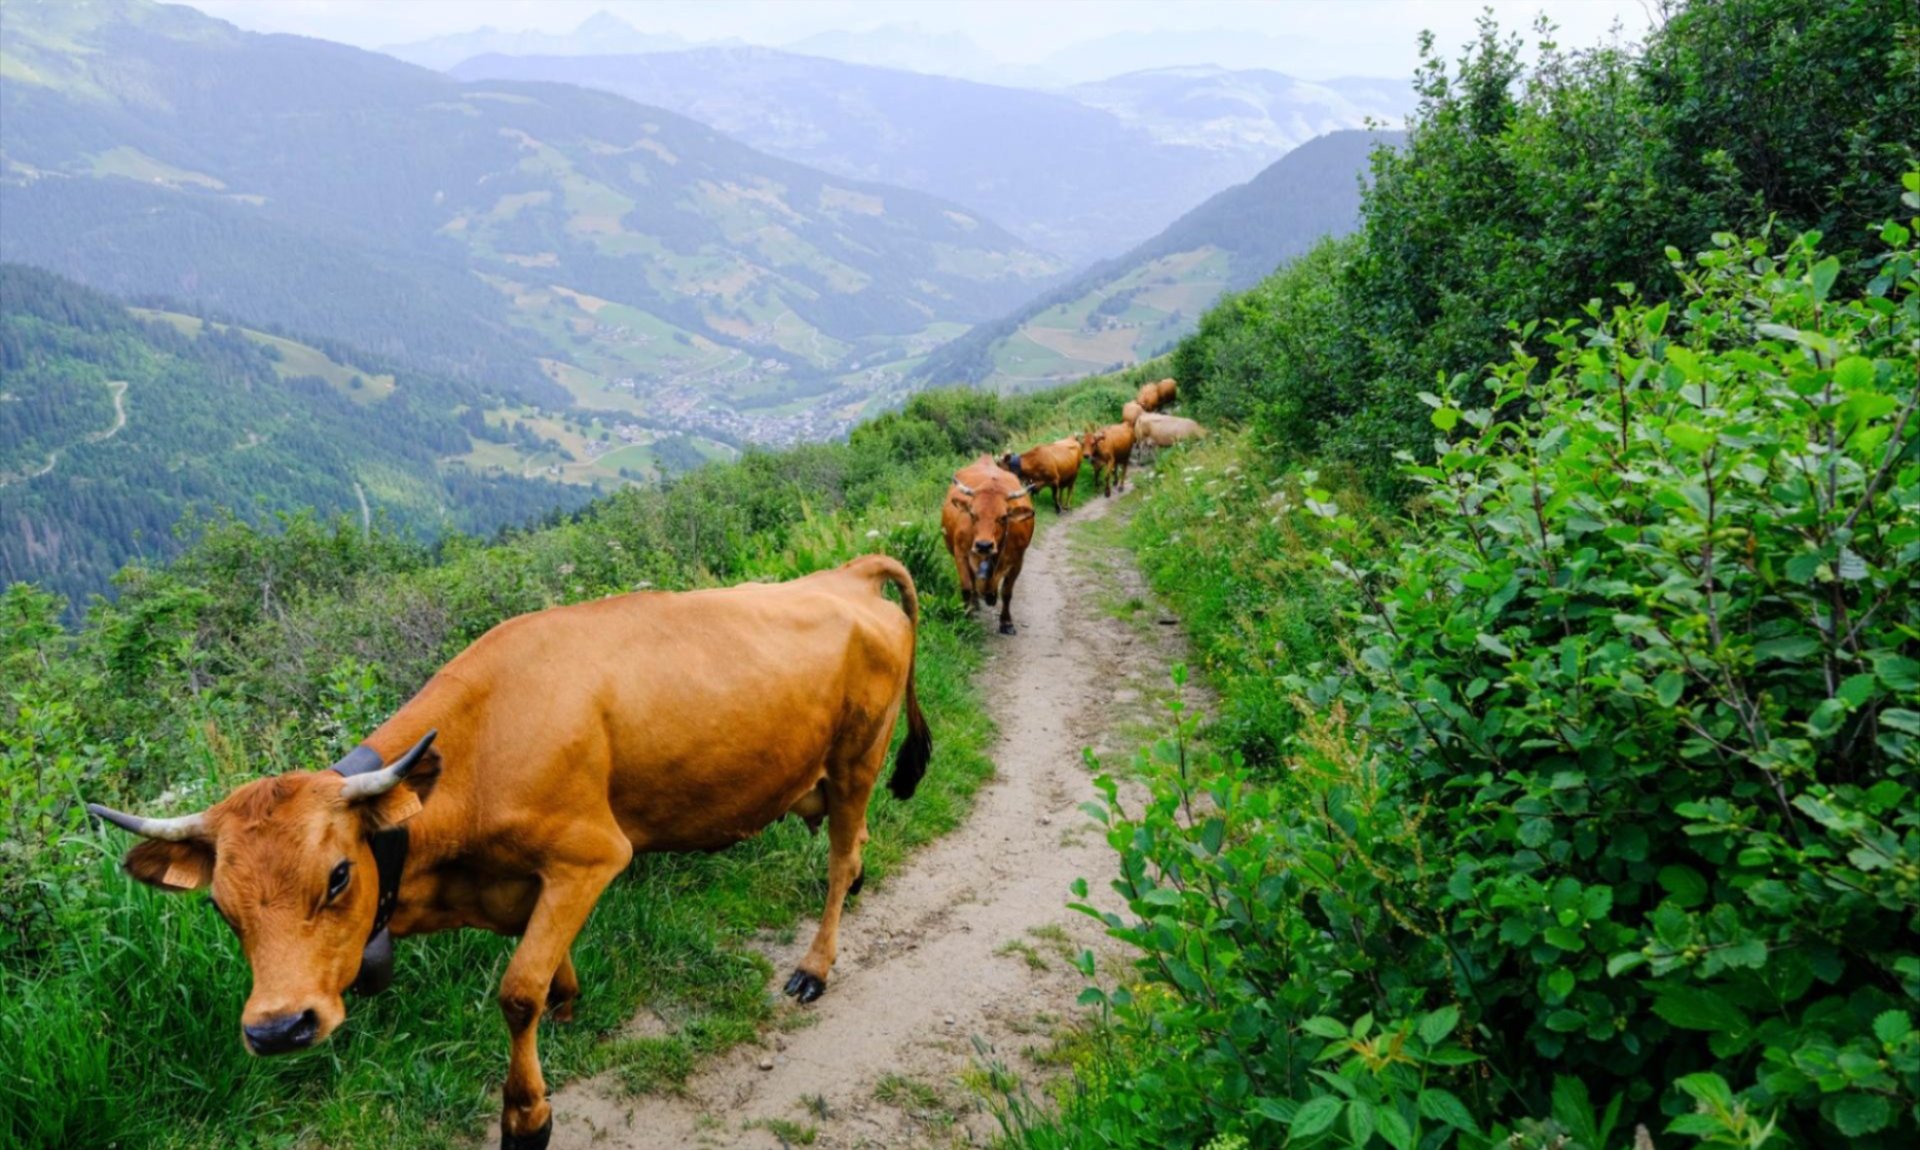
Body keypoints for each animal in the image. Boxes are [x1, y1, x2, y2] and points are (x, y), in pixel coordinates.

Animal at [90, 556, 929, 1150]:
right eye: (222, 908)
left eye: (337, 876)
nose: (276, 1030)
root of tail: (845, 574)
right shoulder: (522, 883)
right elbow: (543, 967)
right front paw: (569, 1001)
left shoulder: (591, 856)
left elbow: (516, 990)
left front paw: (527, 1116)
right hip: (824, 772)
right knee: (853, 846)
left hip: (859, 755)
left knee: (838, 856)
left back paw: (815, 965)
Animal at [940, 456, 1036, 637]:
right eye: (972, 514)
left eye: (1003, 517)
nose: (983, 545)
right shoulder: (960, 554)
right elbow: (967, 587)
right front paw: (966, 616)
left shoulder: (1018, 560)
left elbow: (1006, 592)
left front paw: (1006, 622)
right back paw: (975, 604)